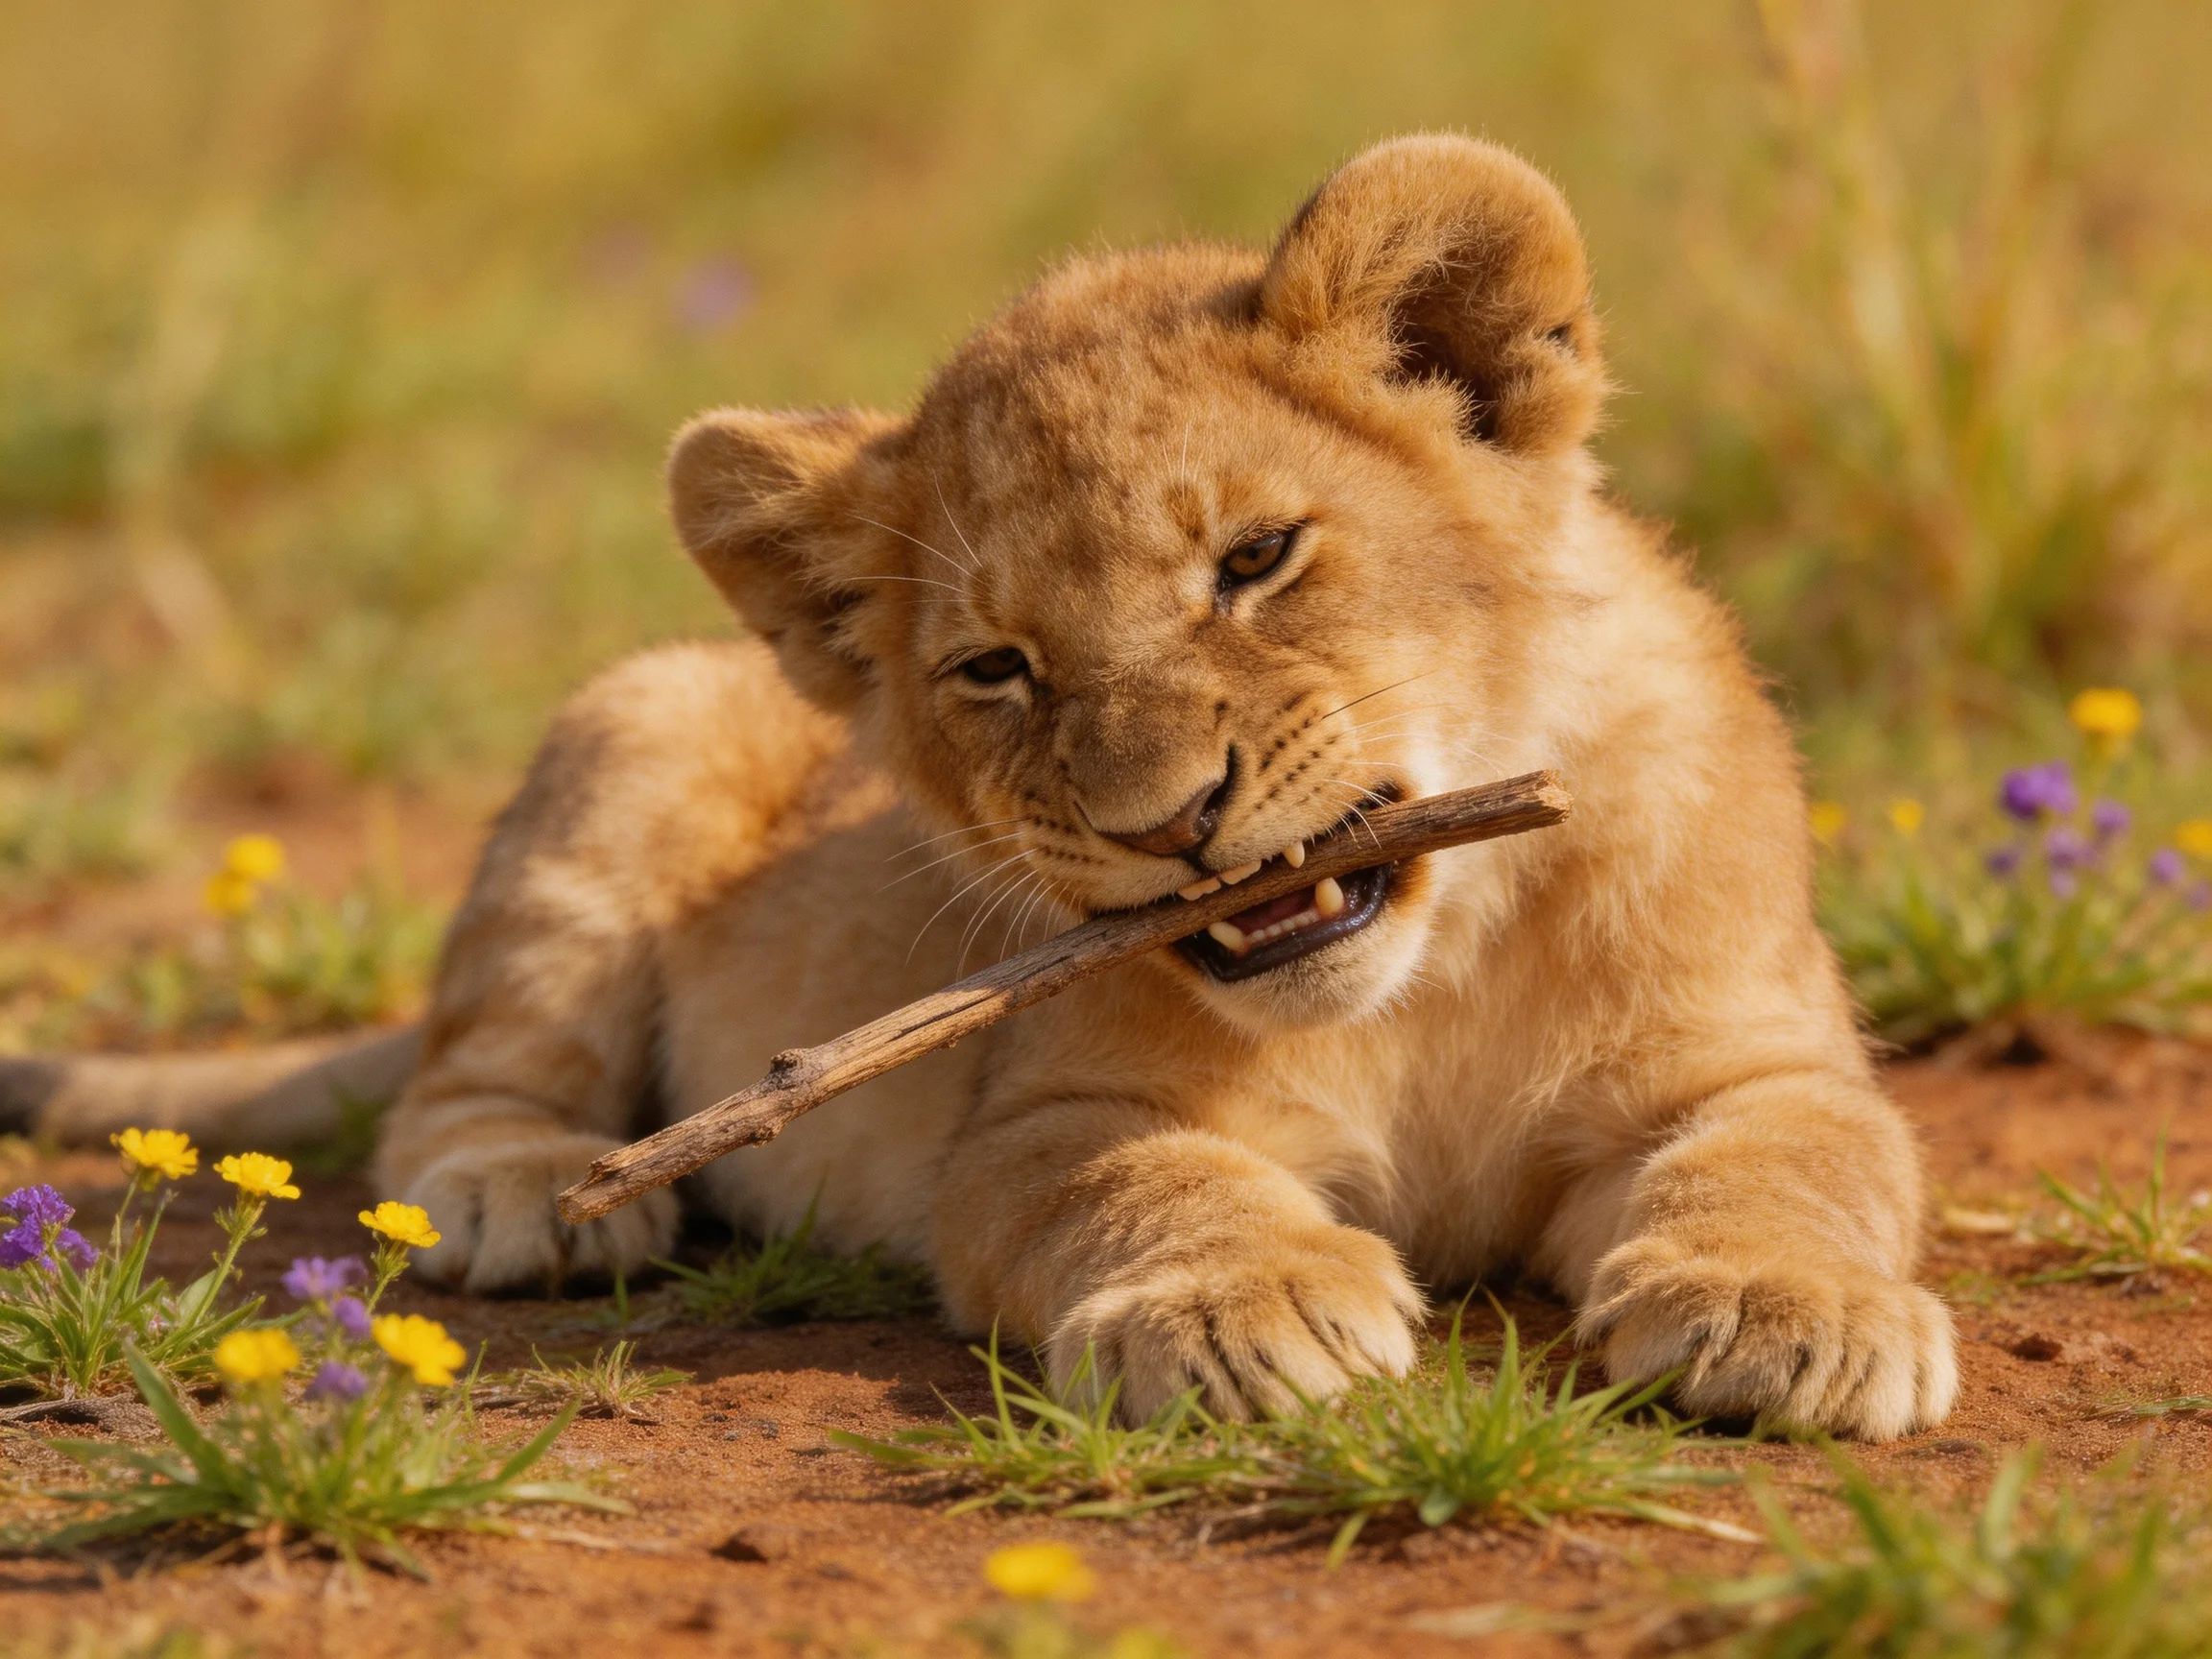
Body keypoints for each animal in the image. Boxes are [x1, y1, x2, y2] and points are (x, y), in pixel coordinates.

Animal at [3, 136, 1957, 1438]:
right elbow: (1142, 1186)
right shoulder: (1038, 1114)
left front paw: (1789, 1312)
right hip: (634, 730)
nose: (1162, 819)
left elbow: (1795, 1159)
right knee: (459, 1076)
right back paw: (519, 1192)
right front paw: (1244, 1305)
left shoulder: (1752, 1054)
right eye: (993, 669)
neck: (1438, 964)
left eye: (1256, 559)